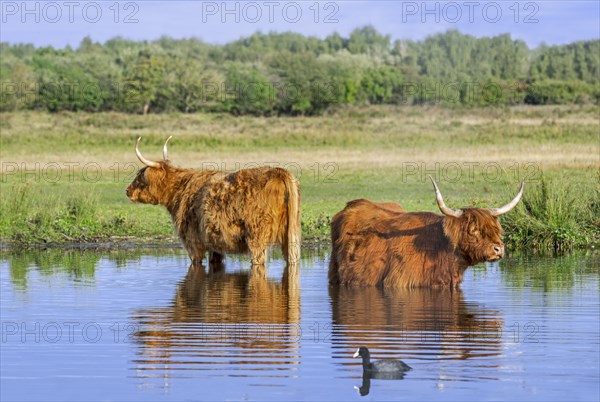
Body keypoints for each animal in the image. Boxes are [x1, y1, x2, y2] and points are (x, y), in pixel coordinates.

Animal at [126, 137, 300, 266]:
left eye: (139, 176)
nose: (127, 191)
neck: (179, 190)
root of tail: (279, 172)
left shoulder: (192, 241)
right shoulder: (214, 244)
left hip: (256, 235)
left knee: (258, 260)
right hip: (291, 236)